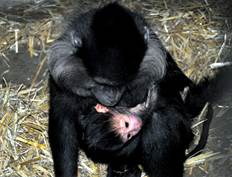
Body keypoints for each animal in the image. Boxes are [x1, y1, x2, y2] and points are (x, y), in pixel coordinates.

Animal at [47, 2, 205, 177]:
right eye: (101, 83)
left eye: (122, 83)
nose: (111, 96)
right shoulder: (61, 76)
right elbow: (63, 122)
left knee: (161, 119)